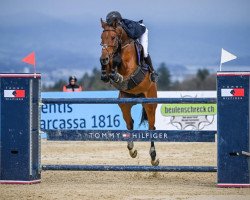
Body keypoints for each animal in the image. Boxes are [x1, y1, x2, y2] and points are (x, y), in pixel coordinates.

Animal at [99, 18, 159, 166]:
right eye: (101, 38)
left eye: (113, 37)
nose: (103, 58)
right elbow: (109, 68)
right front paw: (107, 72)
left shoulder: (129, 66)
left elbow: (118, 61)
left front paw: (116, 73)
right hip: (124, 102)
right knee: (130, 123)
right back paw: (132, 149)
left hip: (150, 103)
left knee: (151, 127)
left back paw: (153, 157)